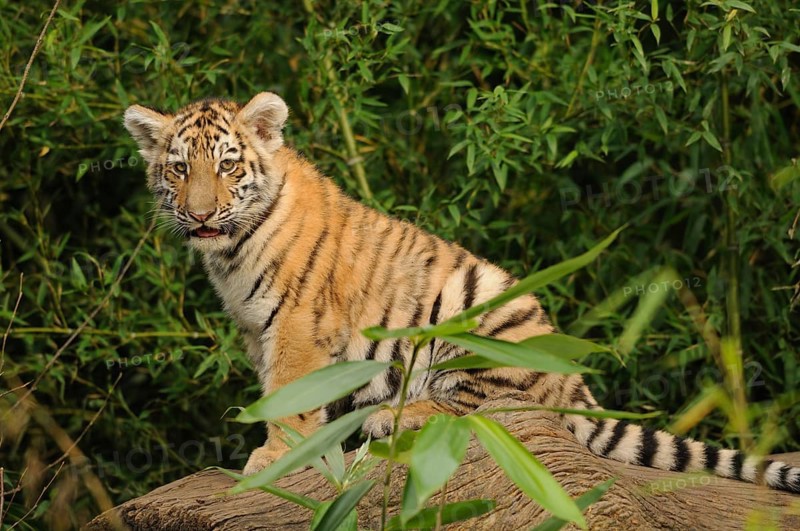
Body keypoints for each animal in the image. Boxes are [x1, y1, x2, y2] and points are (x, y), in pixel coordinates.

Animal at [123, 92, 800, 493]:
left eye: (229, 165)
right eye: (180, 168)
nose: (200, 214)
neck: (229, 253)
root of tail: (575, 384)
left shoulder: (296, 323)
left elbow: (289, 396)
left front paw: (273, 457)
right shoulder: (253, 327)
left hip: (478, 305)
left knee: (498, 411)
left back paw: (398, 417)